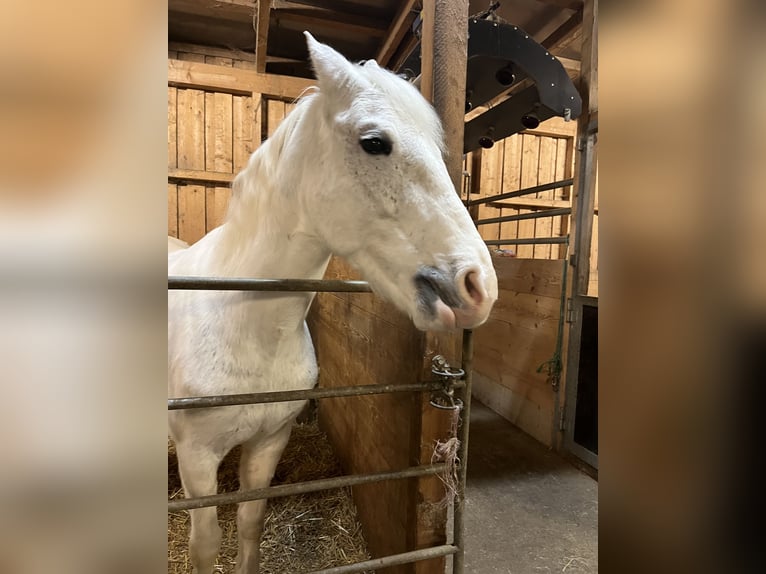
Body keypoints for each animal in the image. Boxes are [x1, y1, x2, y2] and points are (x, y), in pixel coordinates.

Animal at [170, 35, 498, 574]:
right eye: (374, 142)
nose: (478, 286)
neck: (241, 322)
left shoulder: (269, 442)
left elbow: (249, 524)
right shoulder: (197, 458)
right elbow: (205, 544)